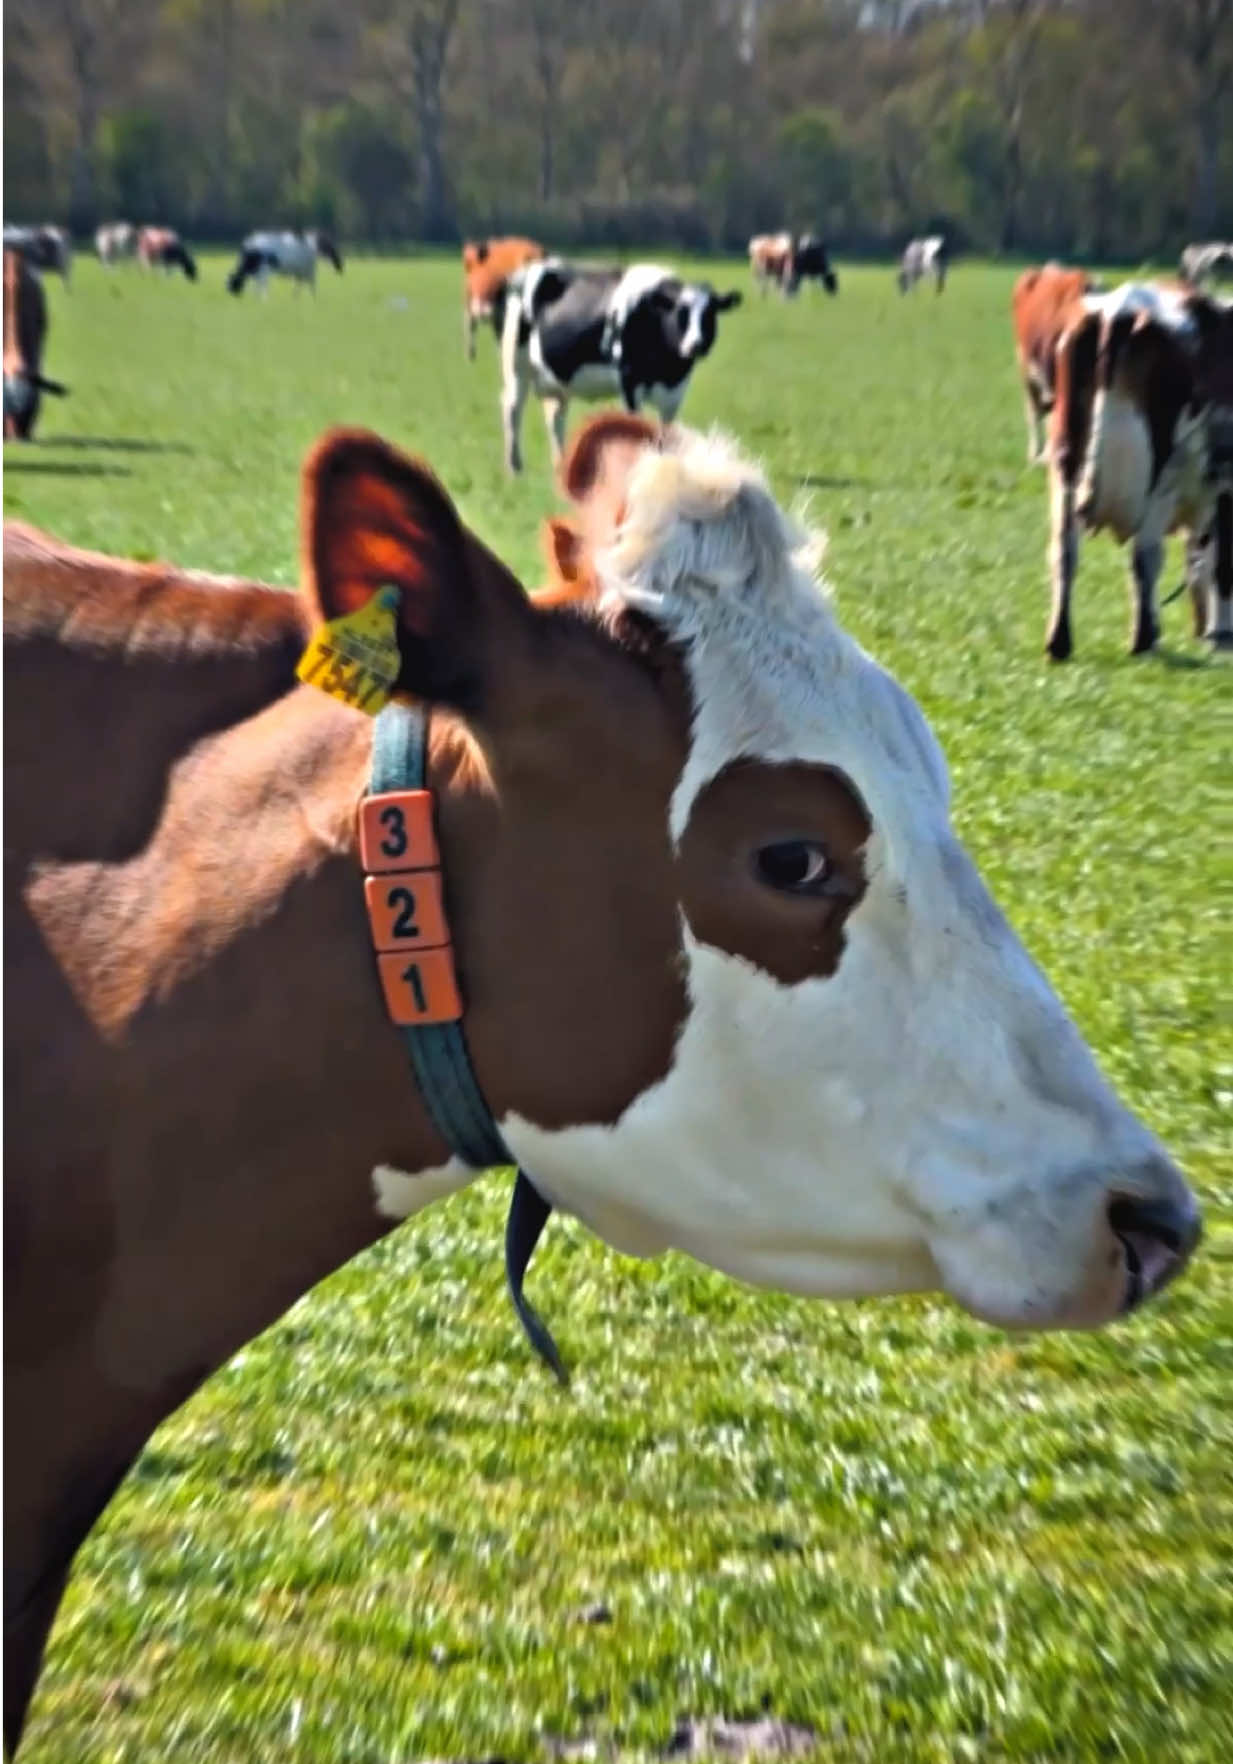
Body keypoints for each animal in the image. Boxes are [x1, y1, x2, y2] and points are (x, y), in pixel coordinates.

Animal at [499, 259, 742, 472]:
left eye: (709, 315)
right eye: (680, 313)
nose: (696, 345)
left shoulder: (676, 390)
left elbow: (666, 433)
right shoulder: (629, 379)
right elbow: (635, 426)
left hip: (557, 380)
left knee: (554, 416)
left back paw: (560, 464)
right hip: (516, 364)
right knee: (512, 408)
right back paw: (514, 468)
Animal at [1044, 282, 1233, 657]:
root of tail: (1120, 309)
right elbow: (1220, 564)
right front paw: (1219, 635)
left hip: (1065, 464)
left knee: (1064, 553)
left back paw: (1059, 640)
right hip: (1163, 476)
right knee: (1146, 557)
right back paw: (1145, 637)